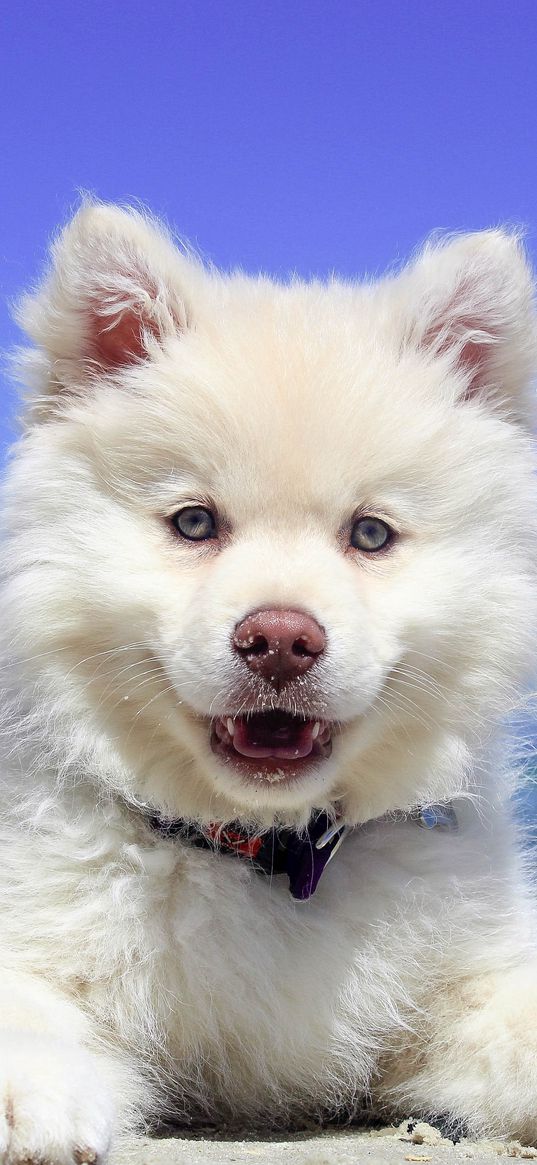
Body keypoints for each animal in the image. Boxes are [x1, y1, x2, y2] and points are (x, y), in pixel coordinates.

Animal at [1, 205, 535, 1160]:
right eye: (194, 523)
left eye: (370, 534)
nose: (280, 641)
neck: (267, 852)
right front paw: (32, 1094)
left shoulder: (466, 981)